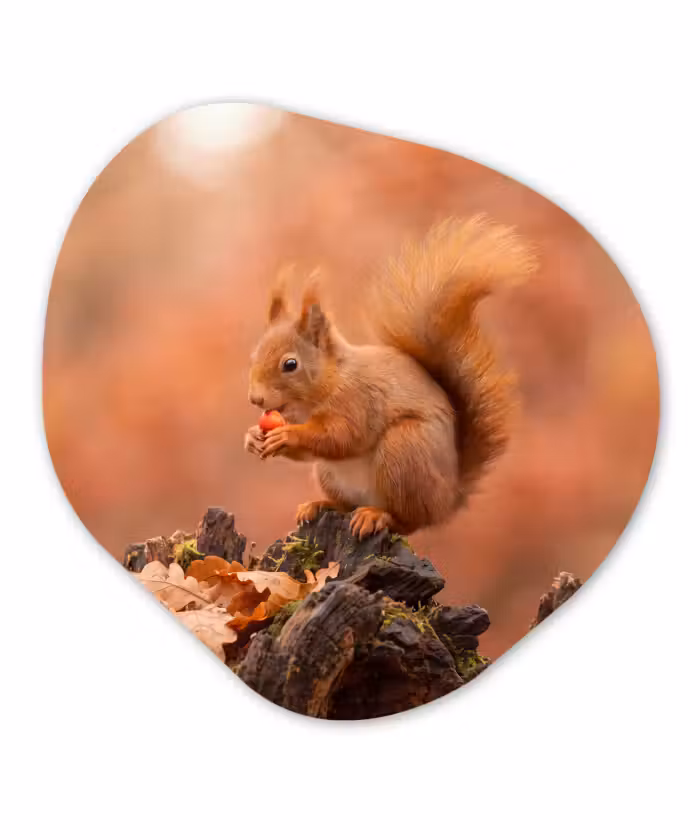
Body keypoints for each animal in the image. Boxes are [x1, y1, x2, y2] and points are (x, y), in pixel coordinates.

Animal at [244, 214, 537, 539]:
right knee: (346, 504)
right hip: (330, 473)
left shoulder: (357, 401)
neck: (328, 383)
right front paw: (253, 437)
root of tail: (449, 499)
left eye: (290, 364)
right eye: (253, 356)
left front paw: (287, 435)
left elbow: (341, 436)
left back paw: (377, 516)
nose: (255, 399)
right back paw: (319, 505)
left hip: (404, 451)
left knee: (409, 521)